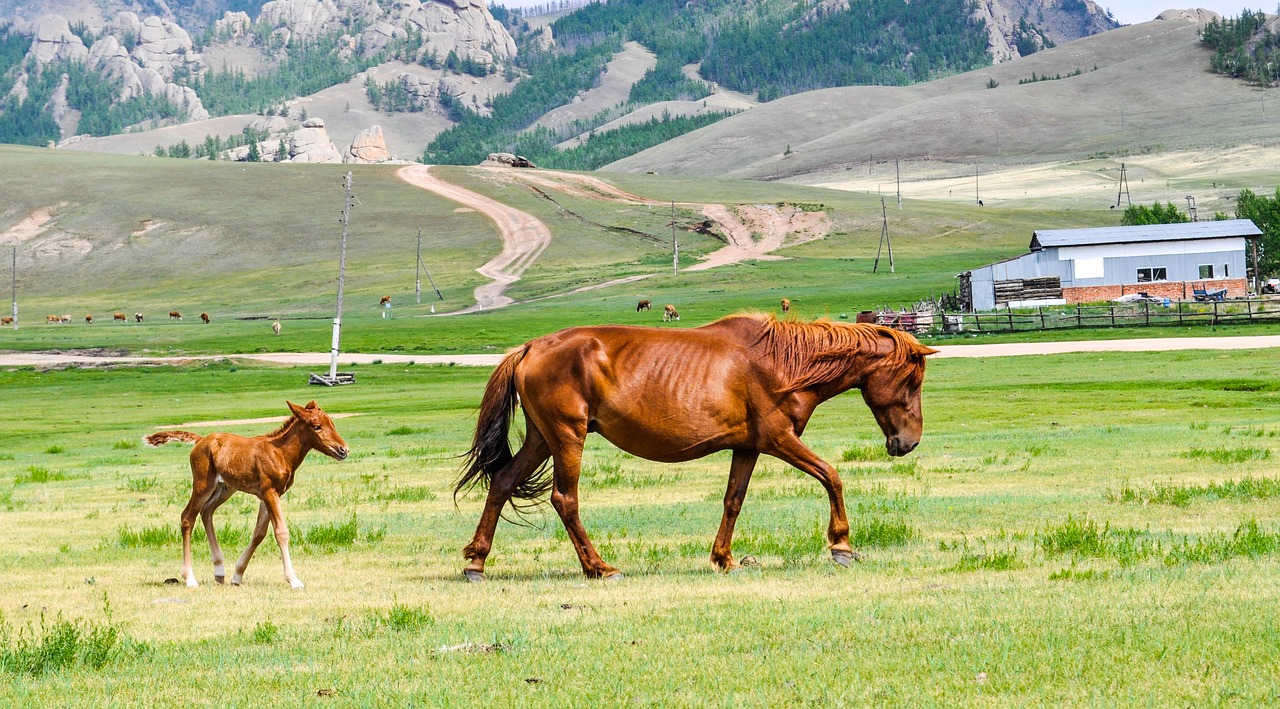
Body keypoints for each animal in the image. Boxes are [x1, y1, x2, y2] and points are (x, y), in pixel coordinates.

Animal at [146, 399, 350, 588]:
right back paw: (190, 578)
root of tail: (200, 440)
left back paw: (219, 571)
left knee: (206, 511)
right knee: (188, 517)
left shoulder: (271, 494)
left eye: (332, 423)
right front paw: (294, 580)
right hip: (203, 485)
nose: (344, 450)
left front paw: (237, 576)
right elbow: (281, 532)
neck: (280, 452)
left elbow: (259, 533)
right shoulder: (269, 492)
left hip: (225, 488)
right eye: (317, 426)